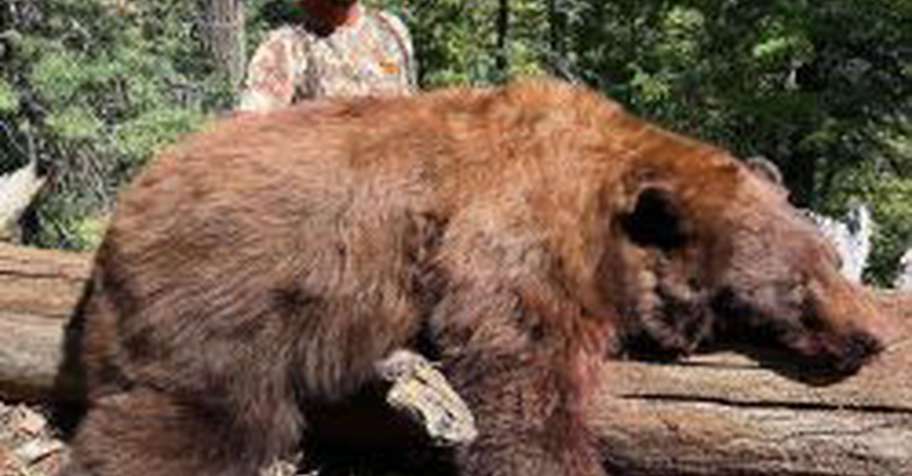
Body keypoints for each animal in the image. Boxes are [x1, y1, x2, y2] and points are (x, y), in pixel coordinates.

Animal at [59, 79, 898, 476]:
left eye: (832, 261)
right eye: (800, 286)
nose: (873, 338)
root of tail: (127, 205)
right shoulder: (514, 231)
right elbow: (521, 373)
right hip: (224, 295)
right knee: (192, 415)